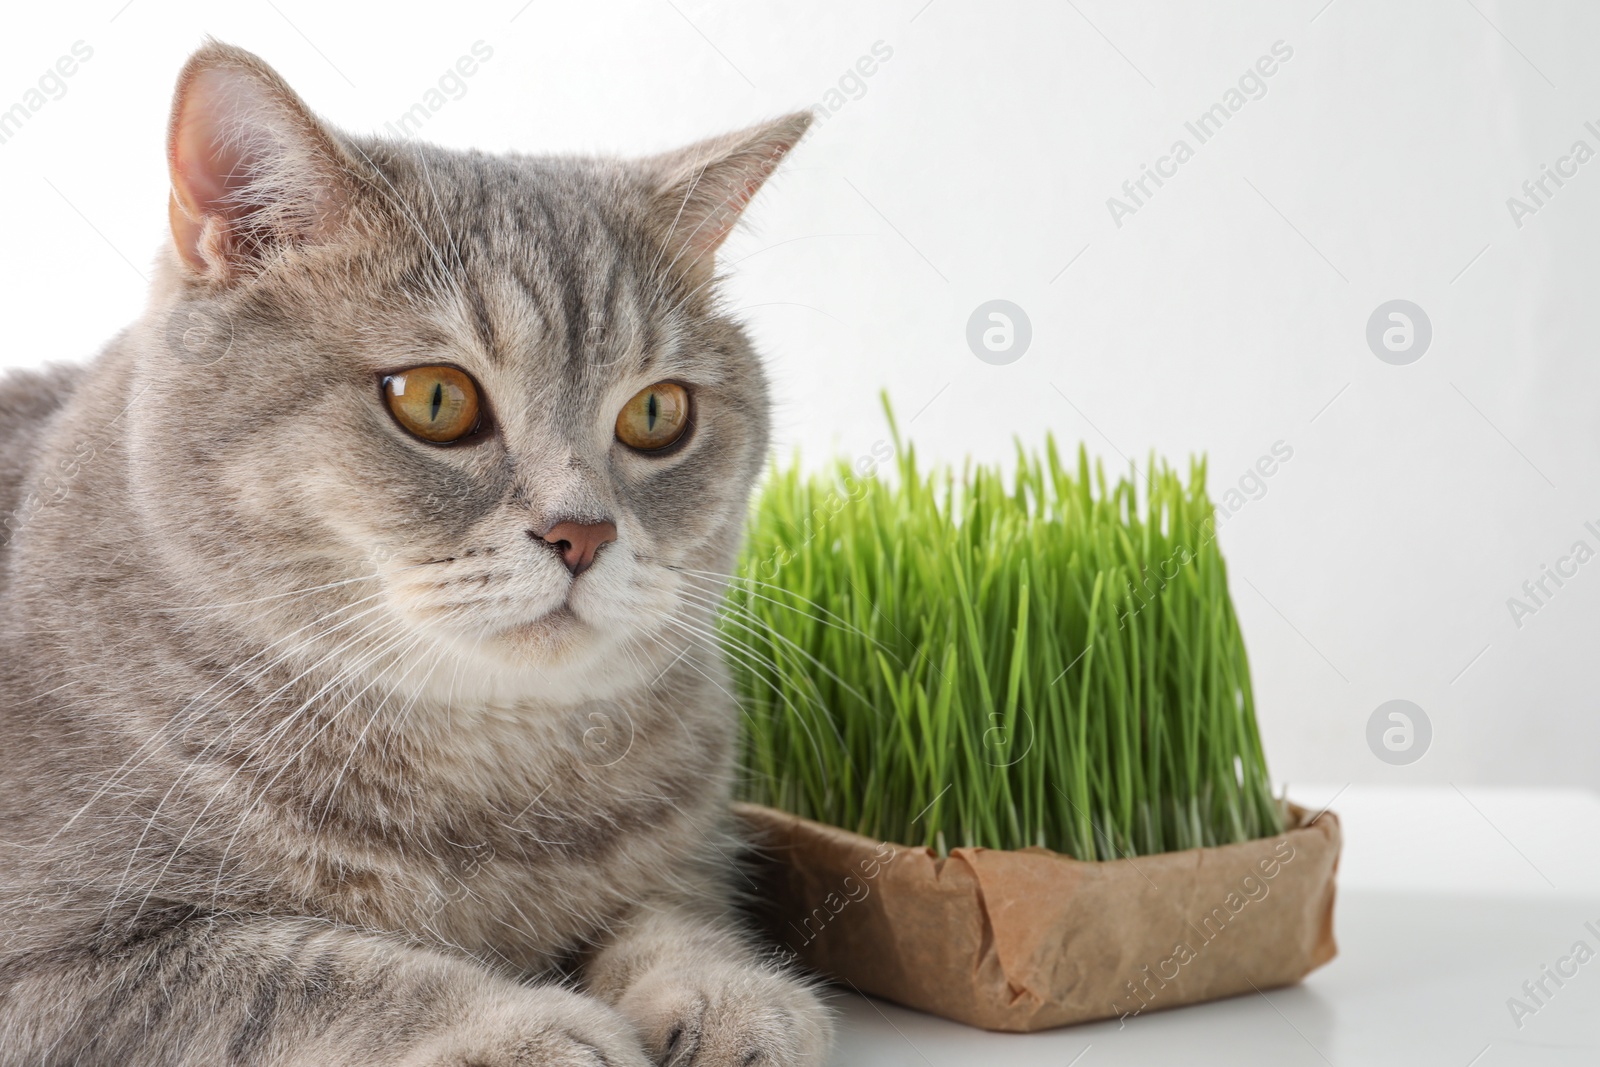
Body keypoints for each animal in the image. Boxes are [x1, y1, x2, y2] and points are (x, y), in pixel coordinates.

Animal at [0, 41, 825, 1067]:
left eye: (657, 413)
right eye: (436, 400)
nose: (584, 531)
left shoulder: (690, 857)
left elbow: (677, 917)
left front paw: (732, 991)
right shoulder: (59, 964)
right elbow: (314, 973)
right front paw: (523, 1026)